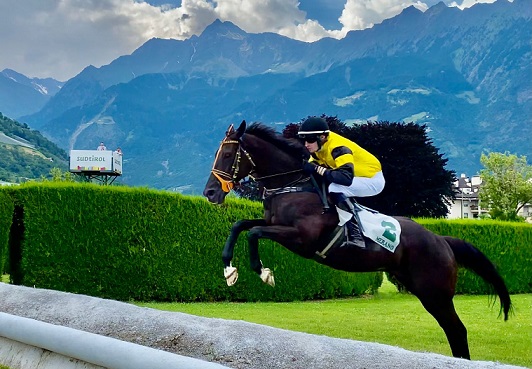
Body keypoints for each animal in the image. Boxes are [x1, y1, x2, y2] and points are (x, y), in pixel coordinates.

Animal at [203, 121, 512, 360]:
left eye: (228, 154)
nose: (210, 193)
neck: (293, 186)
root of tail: (441, 240)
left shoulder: (302, 238)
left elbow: (254, 233)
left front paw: (263, 272)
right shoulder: (273, 223)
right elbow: (241, 226)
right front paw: (229, 270)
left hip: (435, 292)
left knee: (457, 330)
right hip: (422, 288)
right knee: (453, 330)